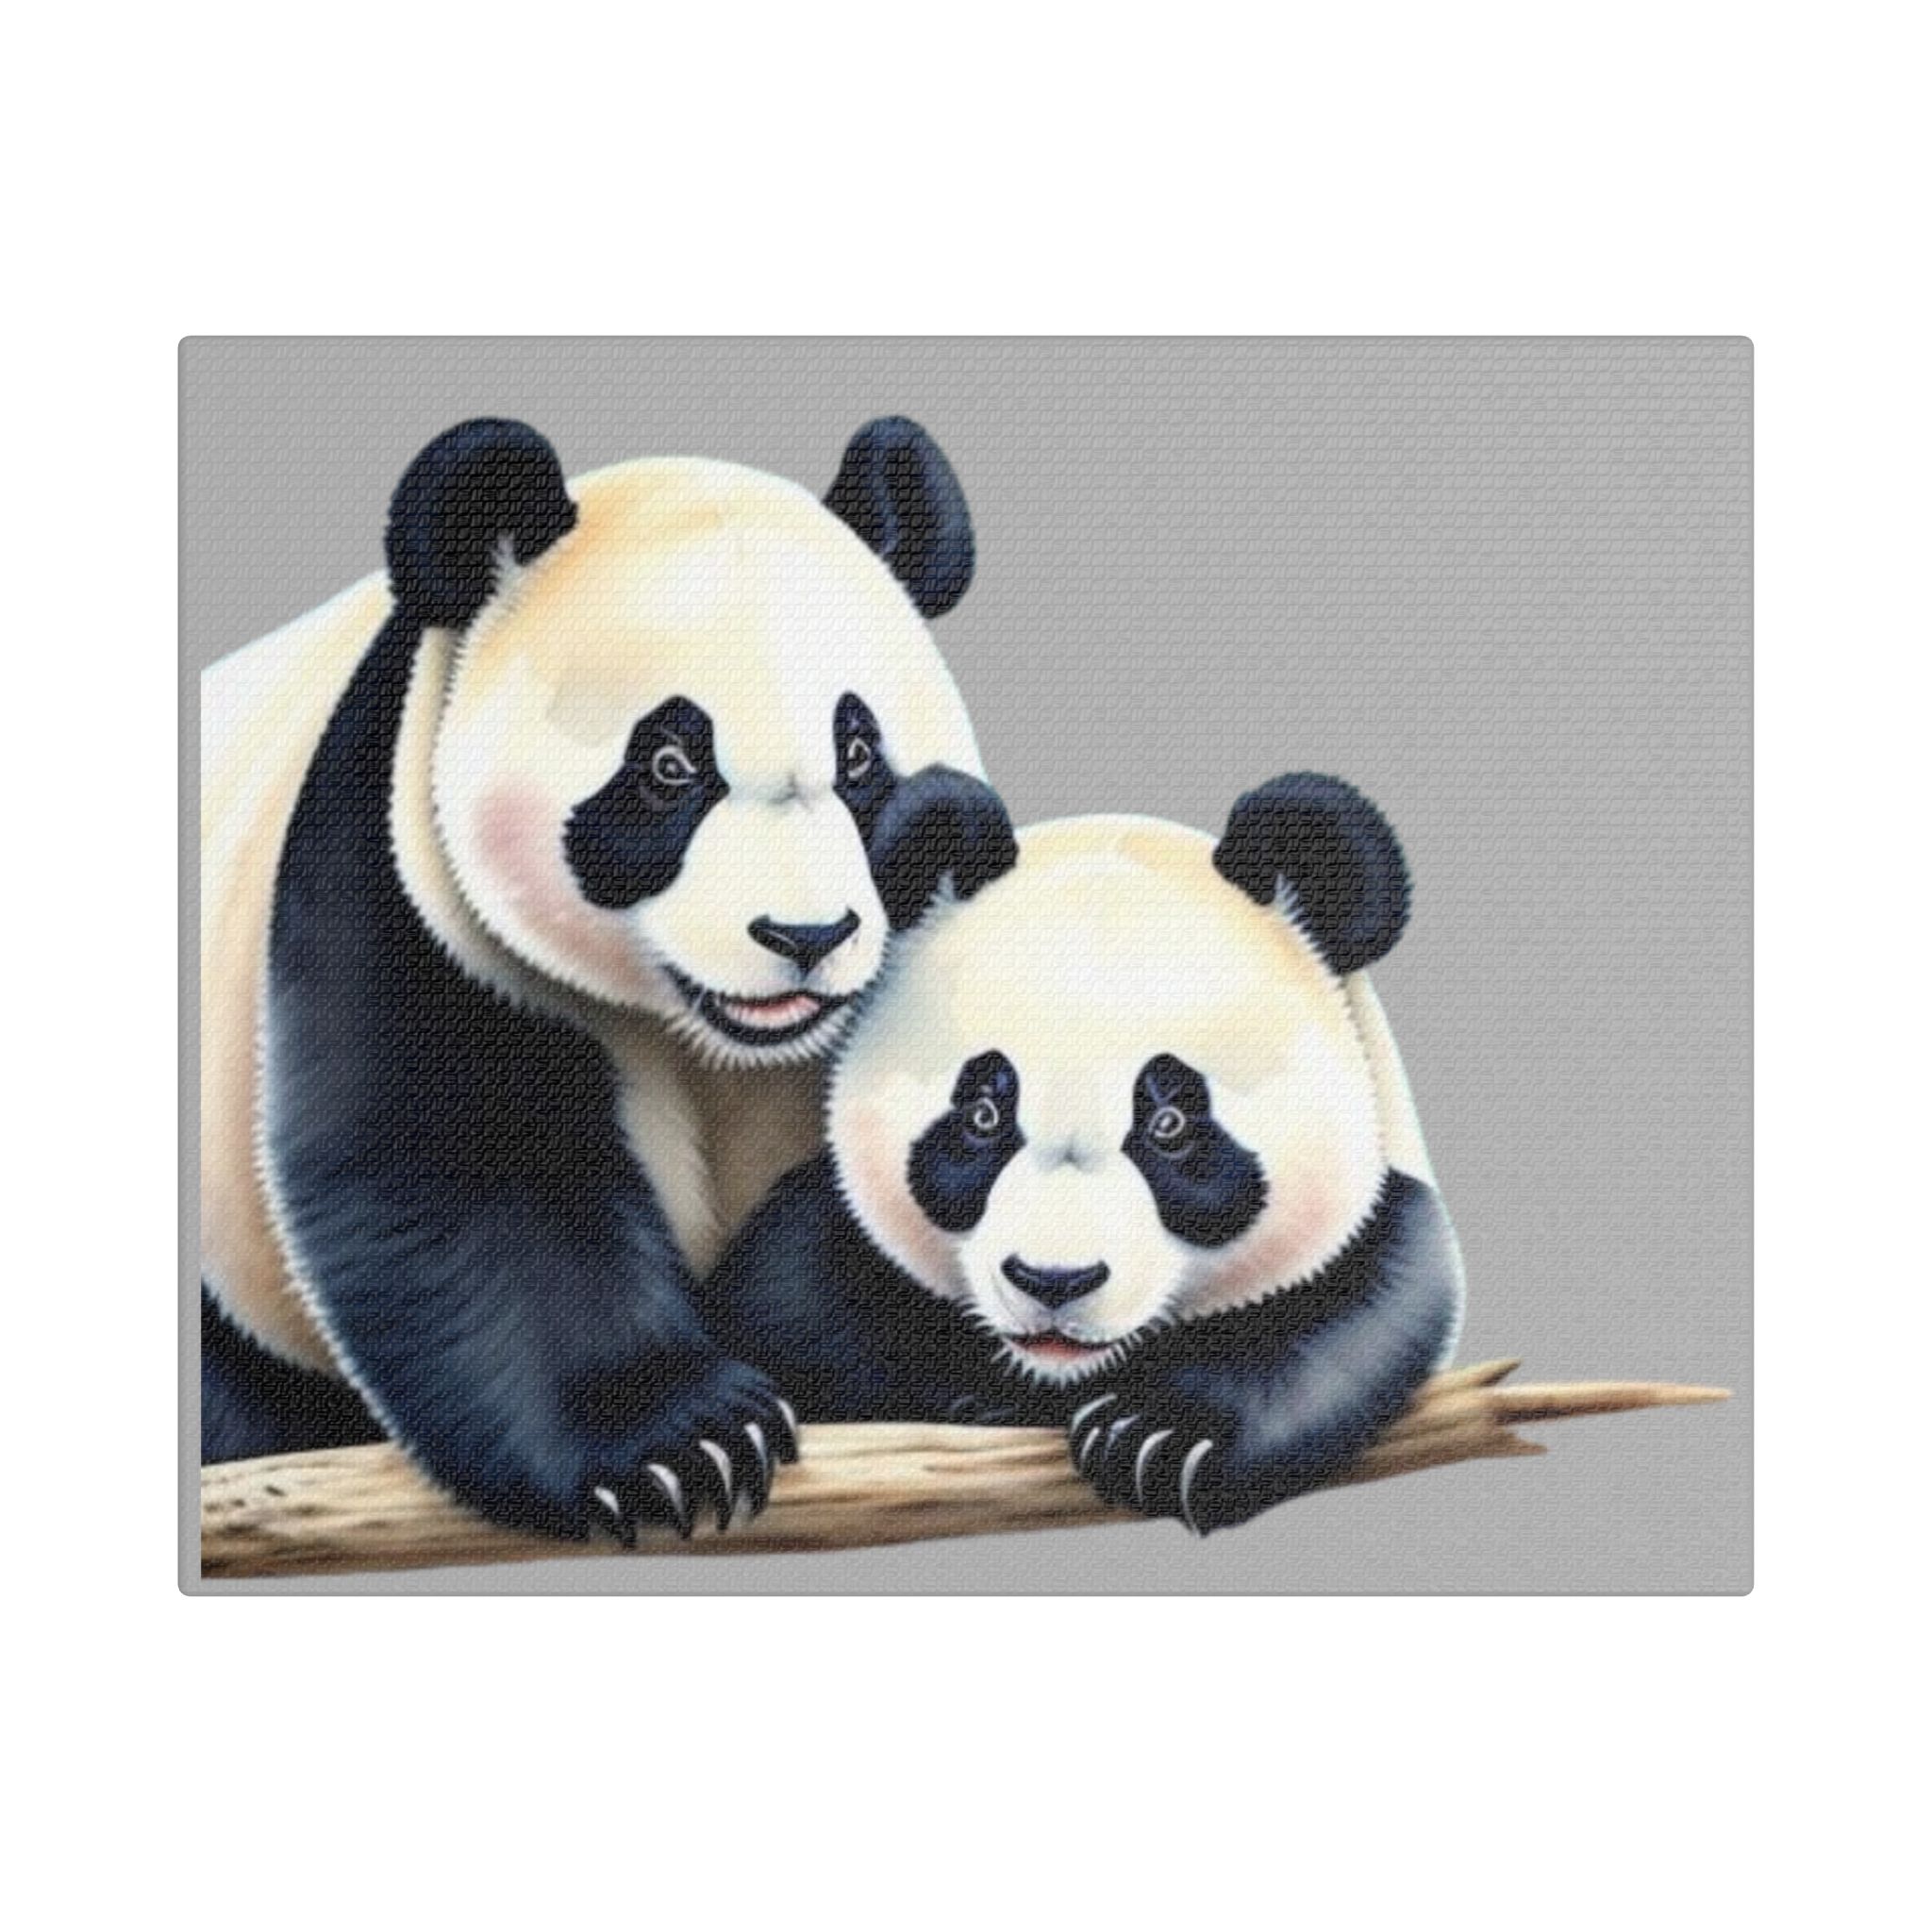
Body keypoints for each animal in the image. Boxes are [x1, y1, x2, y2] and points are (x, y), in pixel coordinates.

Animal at [200, 416, 1016, 1541]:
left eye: (857, 755)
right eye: (670, 765)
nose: (806, 934)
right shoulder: (403, 872)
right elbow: (469, 1174)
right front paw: (683, 1446)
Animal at [701, 774, 1465, 1535]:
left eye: (1169, 1123)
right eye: (983, 1116)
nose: (1053, 1281)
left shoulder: (1377, 1224)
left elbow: (1361, 1317)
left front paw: (1160, 1438)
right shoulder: (817, 1247)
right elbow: (793, 1301)